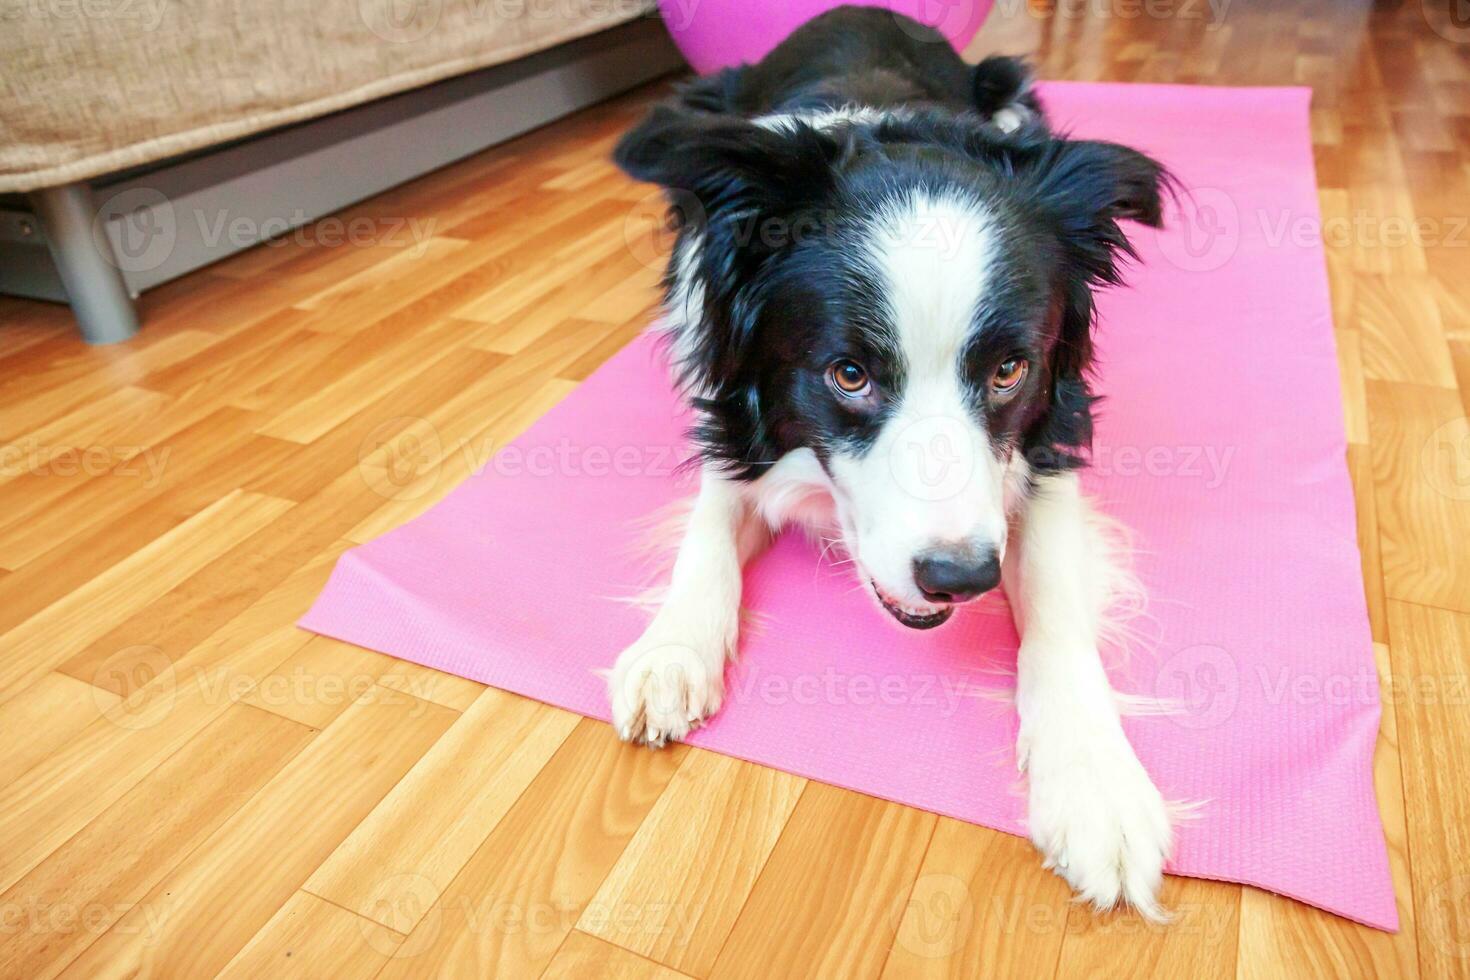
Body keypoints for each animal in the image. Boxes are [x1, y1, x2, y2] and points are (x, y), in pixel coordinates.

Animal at [605, 5, 1170, 922]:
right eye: (849, 374)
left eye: (1009, 370)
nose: (960, 578)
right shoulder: (731, 414)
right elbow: (709, 525)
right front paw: (671, 650)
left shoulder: (1050, 436)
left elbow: (1052, 590)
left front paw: (1096, 787)